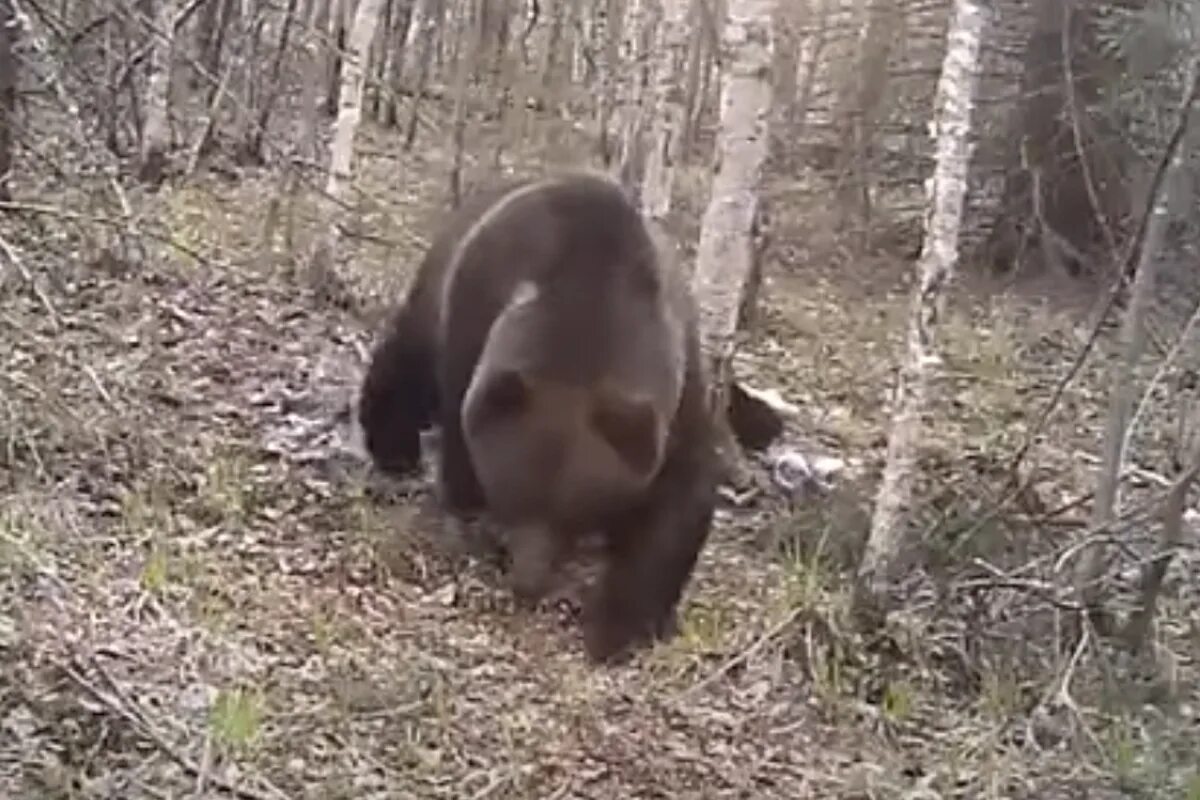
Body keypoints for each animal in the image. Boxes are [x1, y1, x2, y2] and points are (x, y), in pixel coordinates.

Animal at [350, 170, 715, 662]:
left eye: (574, 515)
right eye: (515, 497)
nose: (527, 581)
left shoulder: (676, 392)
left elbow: (677, 508)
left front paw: (620, 628)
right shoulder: (476, 316)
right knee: (408, 361)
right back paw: (394, 446)